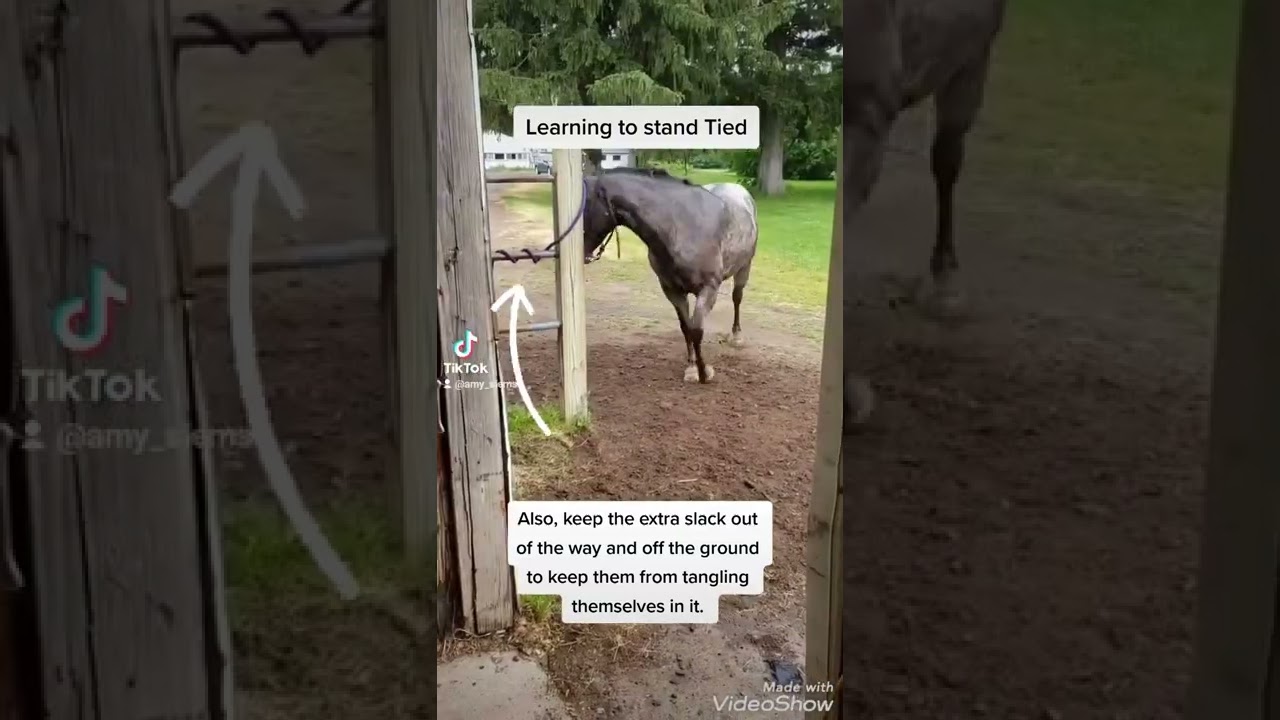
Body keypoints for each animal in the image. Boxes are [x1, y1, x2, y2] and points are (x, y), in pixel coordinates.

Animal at [579, 167, 758, 384]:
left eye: (584, 207)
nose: (581, 253)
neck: (681, 227)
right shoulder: (672, 290)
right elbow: (686, 327)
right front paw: (692, 369)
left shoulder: (709, 289)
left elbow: (697, 330)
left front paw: (704, 372)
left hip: (744, 267)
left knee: (737, 298)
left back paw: (736, 336)